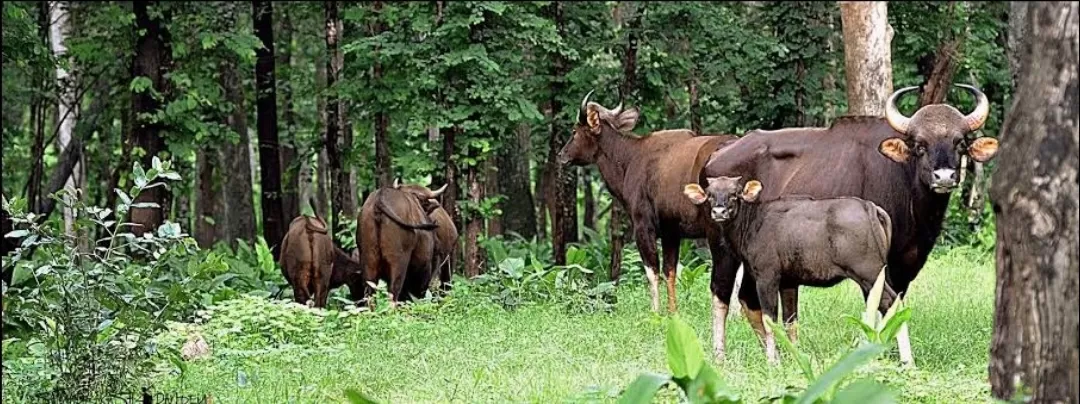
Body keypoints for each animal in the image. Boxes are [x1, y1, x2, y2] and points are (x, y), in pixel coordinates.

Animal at [682, 177, 902, 365]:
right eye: (710, 194)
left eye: (734, 194)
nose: (719, 212)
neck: (753, 223)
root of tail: (870, 207)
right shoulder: (789, 282)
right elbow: (790, 321)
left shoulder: (767, 278)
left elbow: (770, 319)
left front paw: (773, 362)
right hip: (876, 277)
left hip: (869, 275)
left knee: (891, 302)